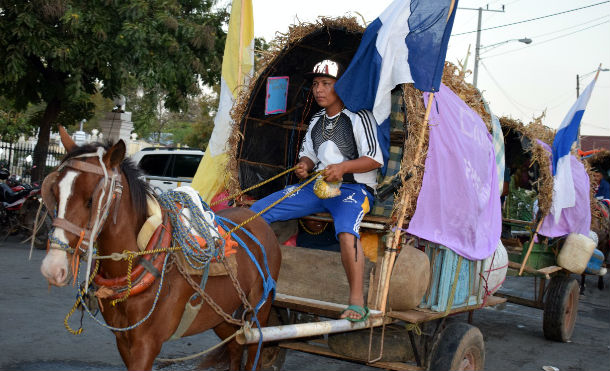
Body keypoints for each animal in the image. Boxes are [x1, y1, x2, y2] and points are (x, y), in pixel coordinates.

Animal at [39, 127, 282, 370]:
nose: (52, 268)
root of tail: (255, 216)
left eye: (91, 200)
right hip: (219, 314)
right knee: (235, 345)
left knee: (253, 349)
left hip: (259, 311)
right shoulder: (123, 341)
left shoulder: (147, 344)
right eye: (54, 193)